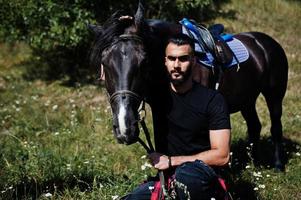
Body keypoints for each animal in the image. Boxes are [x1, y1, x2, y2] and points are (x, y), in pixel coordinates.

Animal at [88, 1, 286, 170]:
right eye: (104, 63)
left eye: (143, 62)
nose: (124, 128)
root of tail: (265, 42)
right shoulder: (159, 111)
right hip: (247, 100)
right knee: (254, 126)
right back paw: (254, 164)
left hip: (274, 96)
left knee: (276, 127)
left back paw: (278, 165)